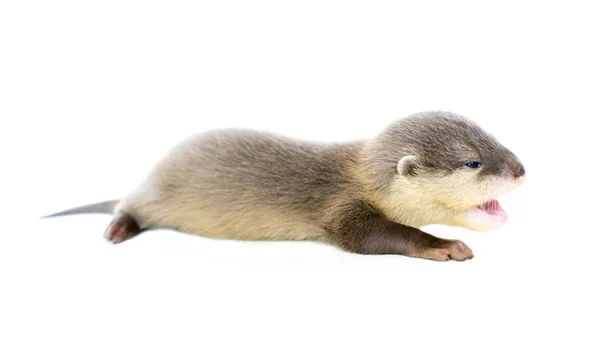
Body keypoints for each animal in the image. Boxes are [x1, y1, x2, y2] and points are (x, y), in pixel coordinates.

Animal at [45, 113, 524, 262]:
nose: (521, 169)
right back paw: (117, 229)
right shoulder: (341, 207)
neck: (363, 177)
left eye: (496, 139)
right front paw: (443, 245)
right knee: (127, 205)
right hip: (156, 189)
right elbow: (369, 236)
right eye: (473, 162)